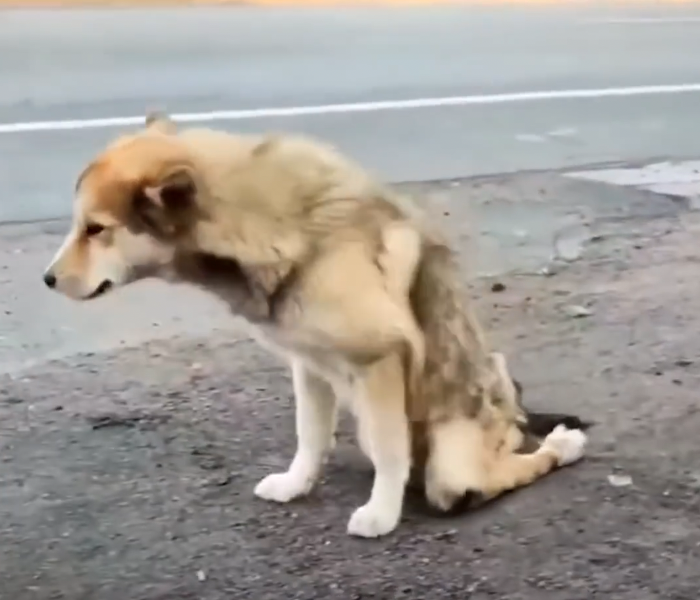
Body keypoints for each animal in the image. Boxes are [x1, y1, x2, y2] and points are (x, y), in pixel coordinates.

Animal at [43, 112, 588, 540]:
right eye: (80, 226)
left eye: (95, 229)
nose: (47, 280)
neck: (276, 232)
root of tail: (513, 412)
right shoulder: (308, 364)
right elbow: (309, 437)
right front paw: (296, 484)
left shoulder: (381, 359)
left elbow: (389, 451)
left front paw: (381, 513)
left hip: (454, 464)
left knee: (505, 470)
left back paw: (563, 445)